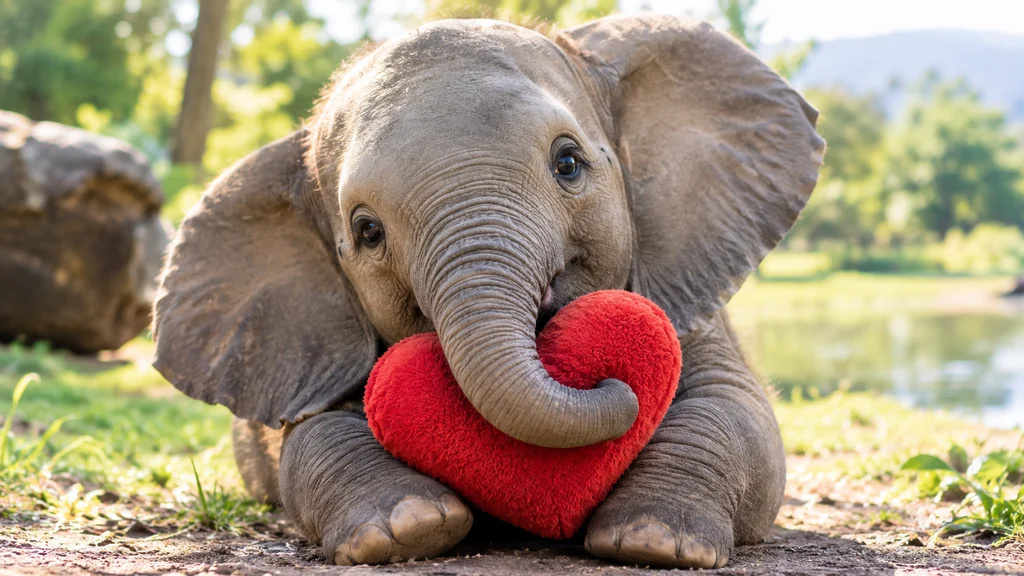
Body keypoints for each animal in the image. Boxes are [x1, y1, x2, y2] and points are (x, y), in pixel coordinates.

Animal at [152, 14, 824, 569]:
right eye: (366, 232)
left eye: (568, 163)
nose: (610, 383)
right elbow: (312, 438)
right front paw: (409, 529)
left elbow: (738, 412)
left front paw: (655, 540)